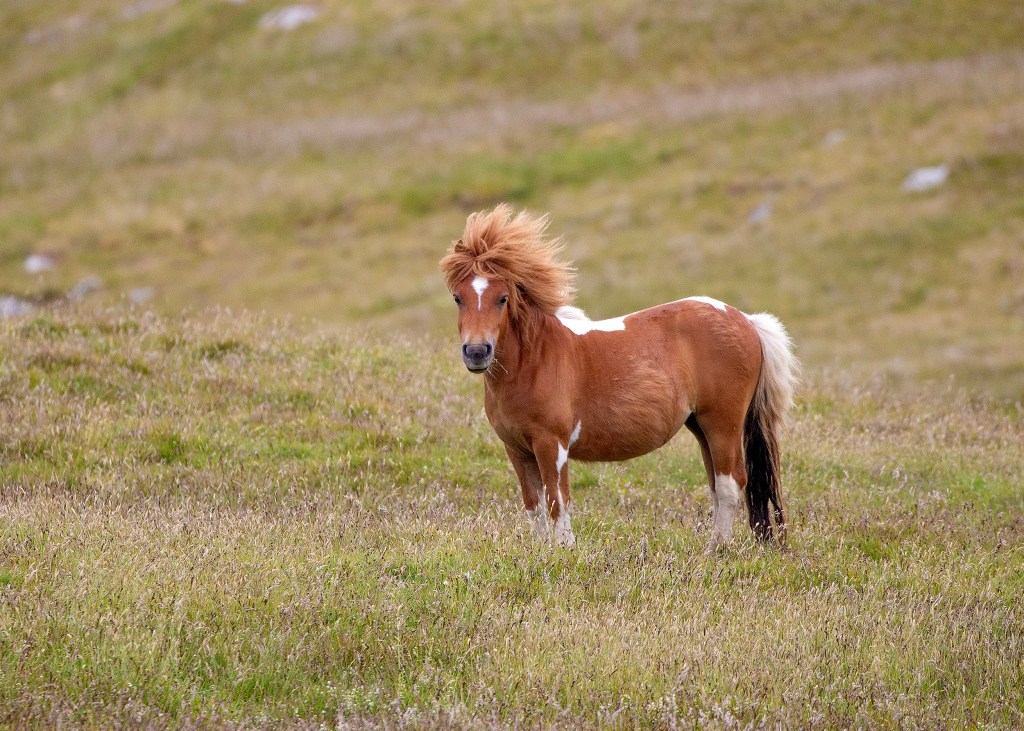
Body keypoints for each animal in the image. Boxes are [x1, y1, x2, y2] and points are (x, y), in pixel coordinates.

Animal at [439, 204, 799, 549]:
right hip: (700, 425)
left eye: (502, 298)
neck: (534, 360)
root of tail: (747, 321)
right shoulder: (516, 449)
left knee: (730, 483)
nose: (477, 352)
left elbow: (557, 501)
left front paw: (565, 552)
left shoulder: (551, 444)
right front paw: (540, 552)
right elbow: (534, 505)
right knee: (717, 485)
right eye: (458, 298)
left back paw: (716, 551)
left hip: (723, 423)